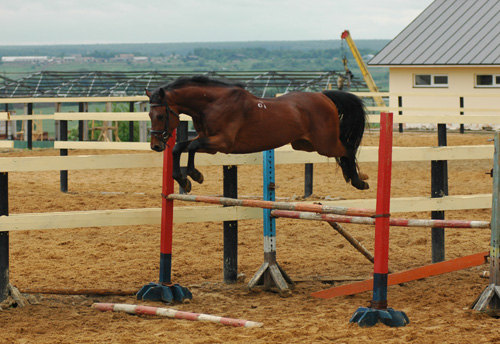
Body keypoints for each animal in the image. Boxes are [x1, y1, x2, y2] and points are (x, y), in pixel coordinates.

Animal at [146, 76, 370, 194]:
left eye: (160, 115)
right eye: (149, 115)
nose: (155, 146)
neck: (212, 104)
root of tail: (324, 96)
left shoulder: (221, 143)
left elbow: (190, 147)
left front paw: (194, 174)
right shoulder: (208, 143)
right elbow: (179, 147)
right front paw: (183, 180)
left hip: (325, 144)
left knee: (348, 150)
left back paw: (359, 181)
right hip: (305, 144)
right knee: (343, 153)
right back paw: (352, 177)